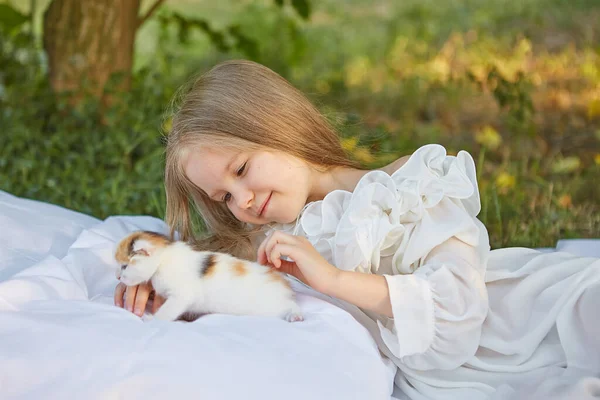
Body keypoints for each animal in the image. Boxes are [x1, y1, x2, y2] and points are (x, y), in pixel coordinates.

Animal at [114, 231, 302, 322]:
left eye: (124, 266)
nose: (118, 277)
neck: (163, 260)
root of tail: (282, 282)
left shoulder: (182, 295)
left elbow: (167, 311)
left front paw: (152, 318)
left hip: (272, 306)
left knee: (292, 306)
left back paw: (295, 316)